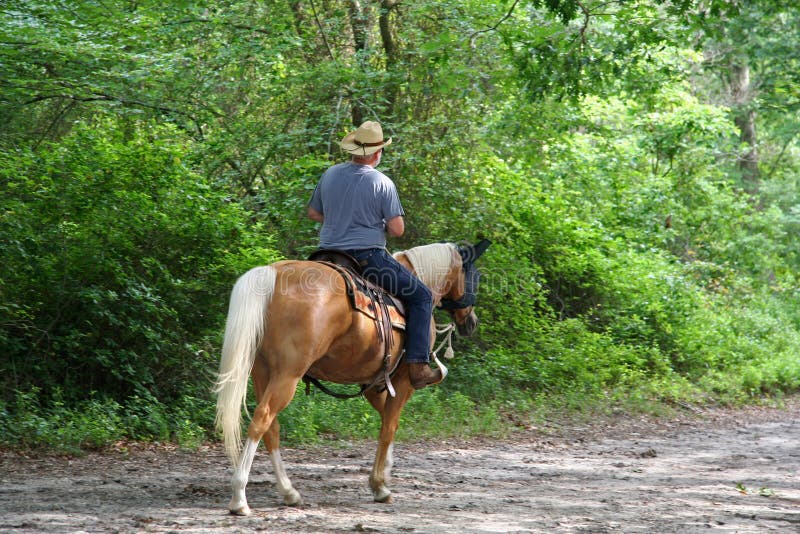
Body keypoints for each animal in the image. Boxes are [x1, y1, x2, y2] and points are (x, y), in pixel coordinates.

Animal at [214, 241, 488, 516]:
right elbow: (389, 426)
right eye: (474, 276)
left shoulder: (373, 383)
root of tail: (273, 273)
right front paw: (379, 485)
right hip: (287, 374)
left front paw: (386, 470)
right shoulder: (403, 381)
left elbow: (386, 418)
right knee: (262, 419)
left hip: (262, 371)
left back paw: (288, 491)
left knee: (271, 428)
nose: (471, 323)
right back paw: (240, 497)